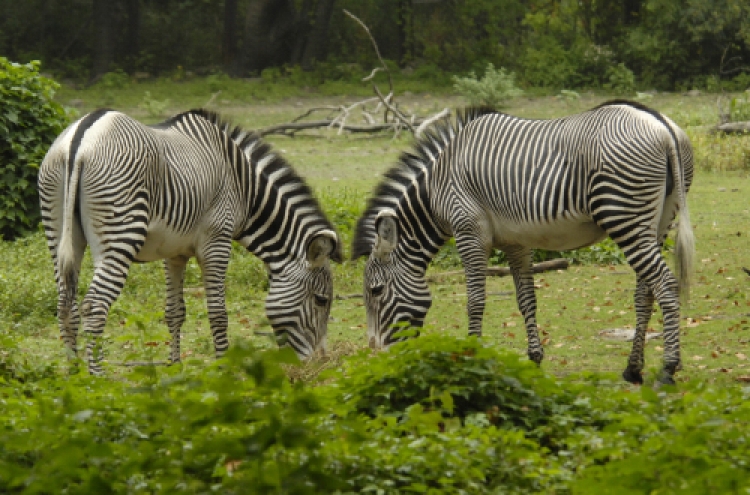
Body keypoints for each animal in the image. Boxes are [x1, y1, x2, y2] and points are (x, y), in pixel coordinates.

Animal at [40, 107, 344, 372]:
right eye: (321, 300)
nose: (319, 362)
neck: (243, 186)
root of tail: (80, 139)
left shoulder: (174, 252)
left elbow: (174, 311)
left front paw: (175, 366)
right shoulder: (217, 241)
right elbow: (218, 313)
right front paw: (224, 367)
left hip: (57, 231)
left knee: (66, 305)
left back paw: (75, 375)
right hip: (120, 235)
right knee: (95, 306)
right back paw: (97, 377)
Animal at [356, 102, 696, 386]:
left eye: (376, 291)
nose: (379, 357)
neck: (438, 185)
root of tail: (660, 124)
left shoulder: (469, 233)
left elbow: (475, 300)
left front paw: (471, 356)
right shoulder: (515, 242)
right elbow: (526, 299)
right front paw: (534, 359)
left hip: (624, 215)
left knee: (665, 284)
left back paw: (667, 369)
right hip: (659, 221)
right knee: (645, 291)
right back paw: (633, 369)